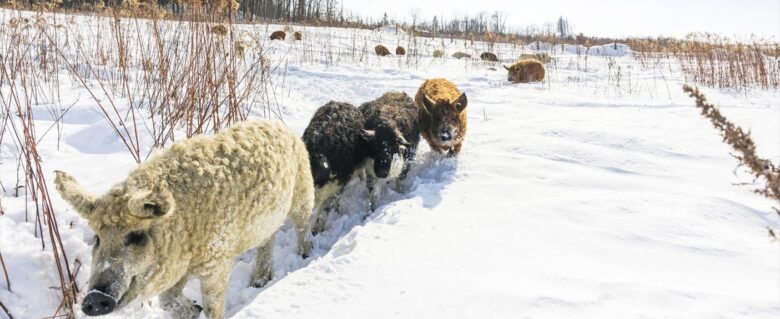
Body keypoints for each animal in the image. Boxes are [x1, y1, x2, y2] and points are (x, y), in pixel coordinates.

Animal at [53, 120, 316, 319]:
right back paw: (259, 282)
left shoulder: (217, 260)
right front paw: (193, 310)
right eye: (97, 239)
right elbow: (167, 299)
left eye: (137, 236)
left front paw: (204, 310)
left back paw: (305, 255)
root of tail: (279, 125)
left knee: (303, 224)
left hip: (303, 190)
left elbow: (213, 303)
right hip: (267, 221)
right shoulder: (178, 270)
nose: (94, 299)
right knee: (267, 239)